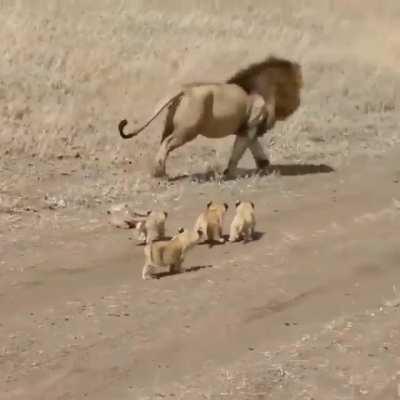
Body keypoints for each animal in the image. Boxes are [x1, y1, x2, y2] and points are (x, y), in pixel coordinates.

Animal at [119, 55, 304, 178]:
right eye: (297, 86)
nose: (298, 102)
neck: (263, 90)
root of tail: (184, 89)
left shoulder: (247, 128)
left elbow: (253, 147)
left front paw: (263, 165)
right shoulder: (251, 126)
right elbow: (239, 151)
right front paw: (231, 174)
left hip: (171, 125)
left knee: (162, 142)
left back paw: (157, 170)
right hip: (188, 130)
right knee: (167, 143)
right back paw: (160, 173)